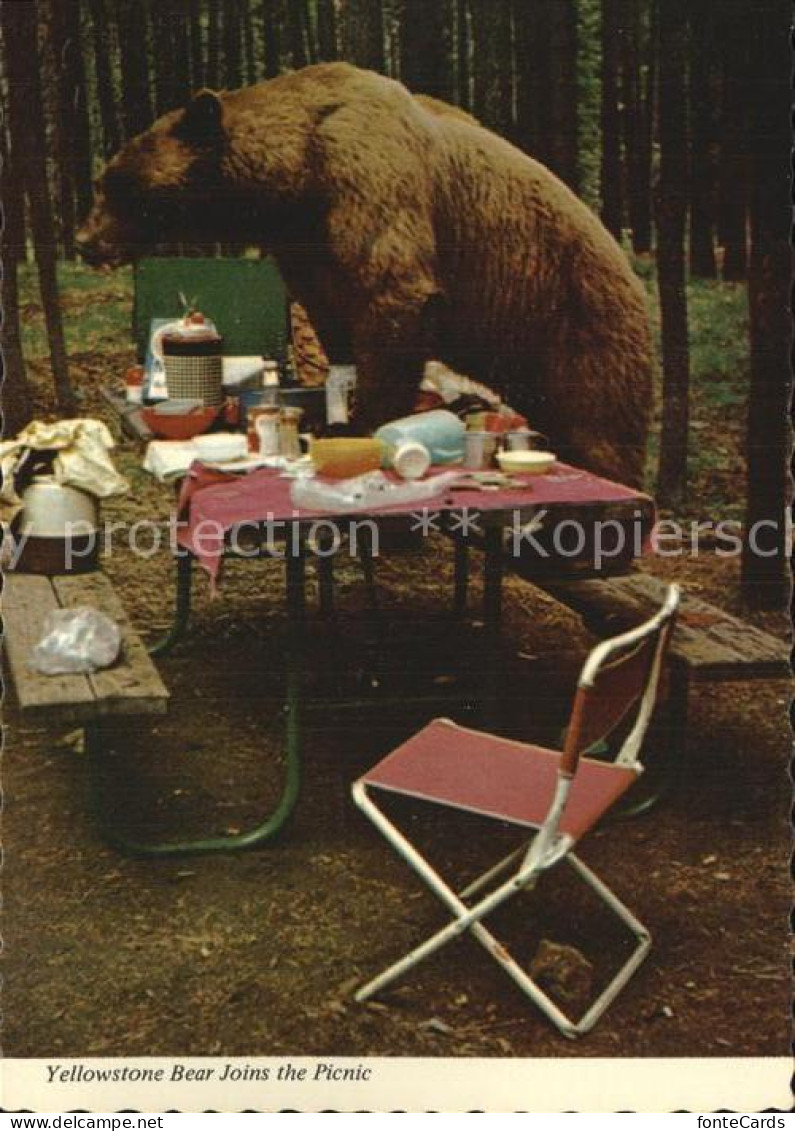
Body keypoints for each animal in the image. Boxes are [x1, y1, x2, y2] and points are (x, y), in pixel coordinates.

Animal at [78, 61, 655, 486]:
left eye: (117, 184)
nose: (85, 241)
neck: (297, 178)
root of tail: (628, 266)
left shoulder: (371, 178)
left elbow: (394, 296)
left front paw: (367, 422)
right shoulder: (306, 246)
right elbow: (334, 318)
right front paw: (332, 406)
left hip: (578, 320)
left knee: (600, 423)